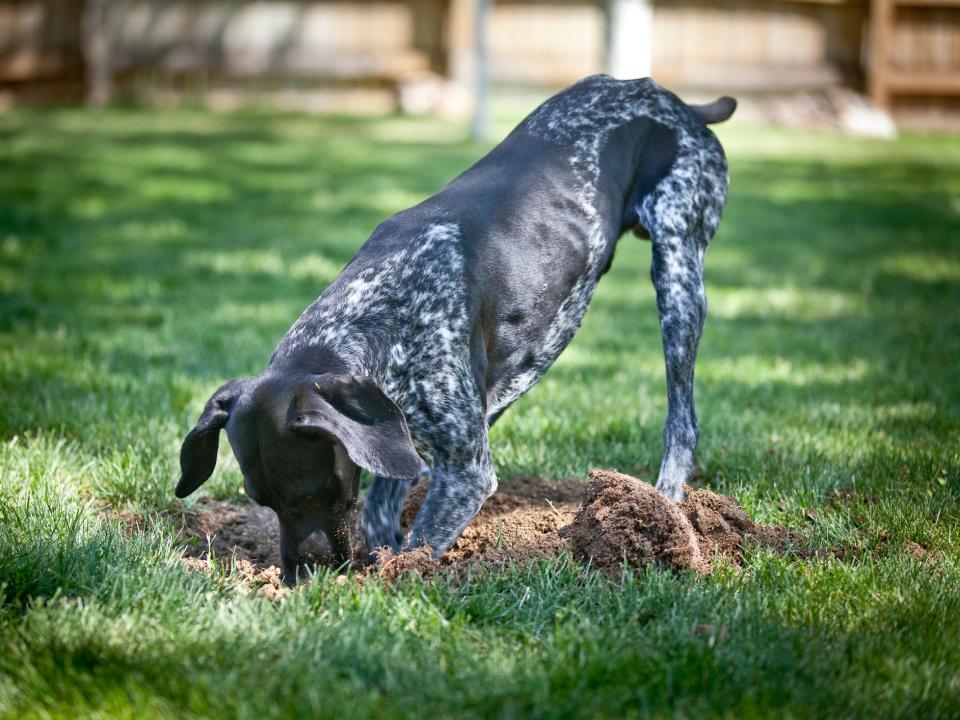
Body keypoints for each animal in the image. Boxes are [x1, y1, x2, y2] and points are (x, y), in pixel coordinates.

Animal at [176, 76, 740, 584]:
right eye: (262, 502)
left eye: (314, 493)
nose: (299, 579)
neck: (374, 312)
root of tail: (677, 103)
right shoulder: (400, 433)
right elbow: (382, 516)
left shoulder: (466, 474)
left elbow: (416, 547)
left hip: (678, 273)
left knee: (683, 419)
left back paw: (667, 508)